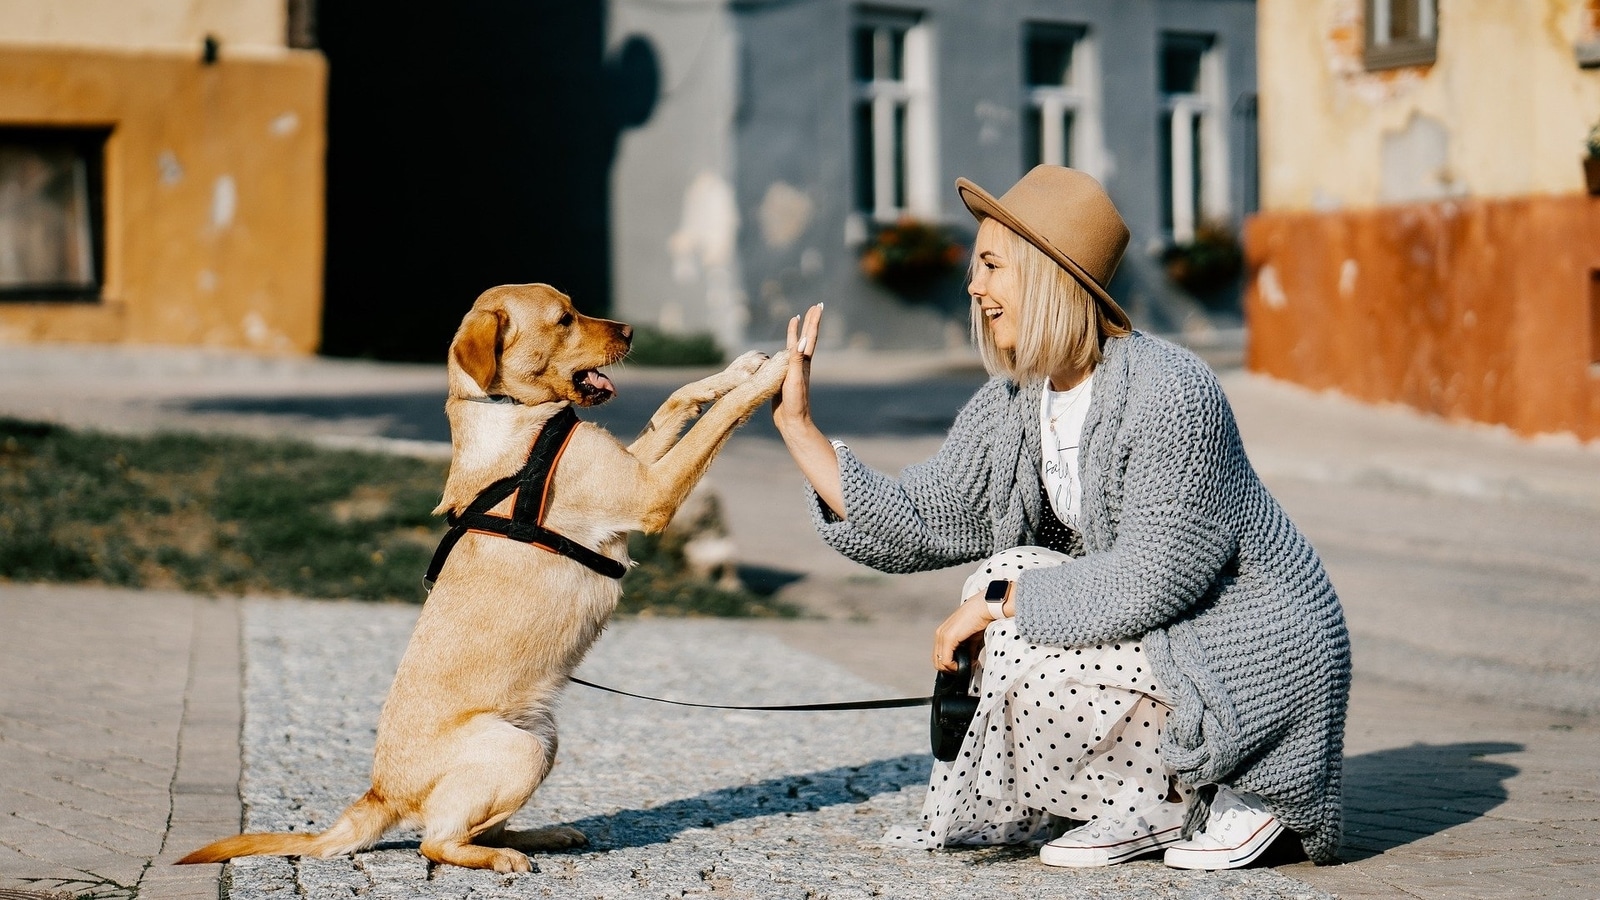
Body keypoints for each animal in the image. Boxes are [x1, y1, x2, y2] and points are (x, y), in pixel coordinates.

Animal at [180, 281, 787, 871]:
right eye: (564, 319)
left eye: (575, 307)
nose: (632, 330)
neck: (511, 412)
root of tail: (381, 793)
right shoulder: (649, 493)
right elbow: (716, 420)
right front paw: (777, 372)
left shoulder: (636, 467)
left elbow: (678, 398)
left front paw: (740, 368)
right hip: (520, 750)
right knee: (436, 842)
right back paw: (500, 857)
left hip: (542, 739)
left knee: (475, 826)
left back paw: (539, 836)